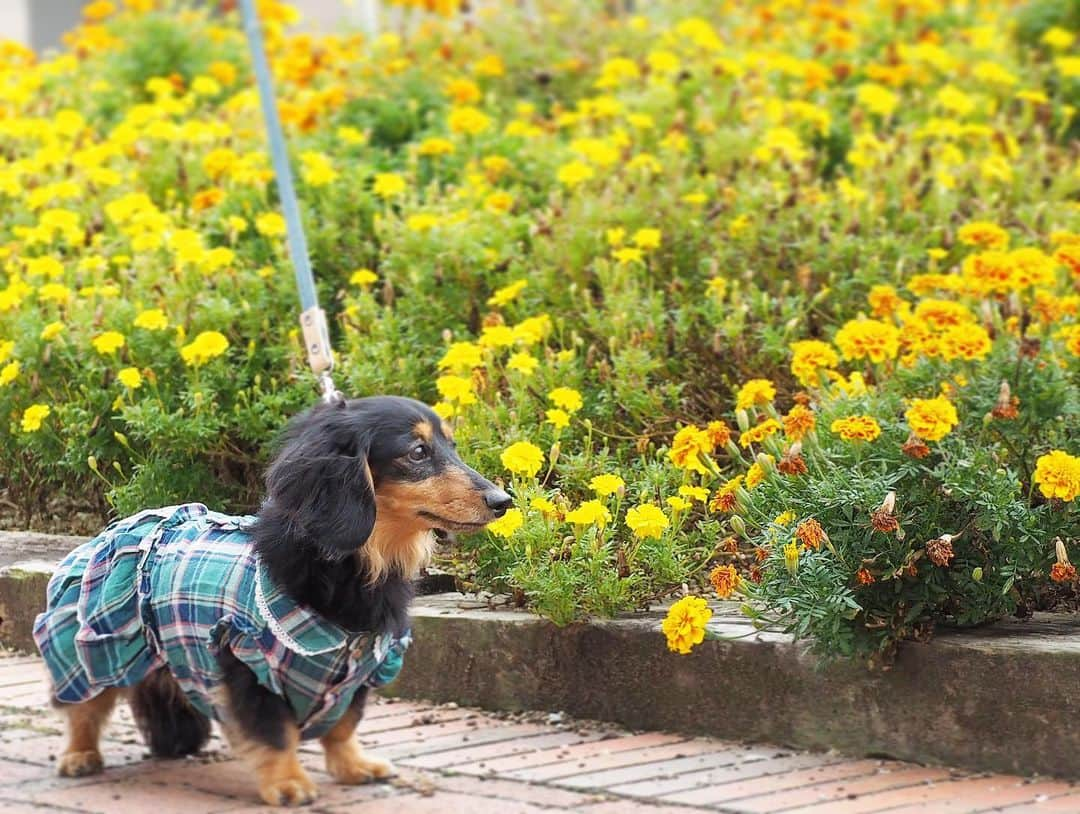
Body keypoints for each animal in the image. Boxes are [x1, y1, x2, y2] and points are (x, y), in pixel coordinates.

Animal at [29, 397, 509, 803]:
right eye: (417, 452)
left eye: (451, 446)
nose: (503, 500)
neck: (352, 565)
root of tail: (117, 526)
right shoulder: (245, 660)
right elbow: (275, 733)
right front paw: (289, 783)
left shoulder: (361, 666)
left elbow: (344, 724)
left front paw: (352, 766)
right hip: (90, 638)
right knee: (85, 706)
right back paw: (79, 755)